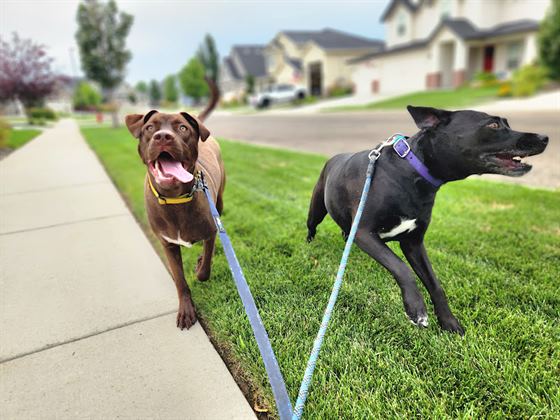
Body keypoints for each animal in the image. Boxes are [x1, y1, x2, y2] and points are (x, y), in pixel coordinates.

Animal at [126, 82, 224, 330]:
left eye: (182, 128)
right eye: (150, 127)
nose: (163, 136)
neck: (175, 199)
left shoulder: (210, 232)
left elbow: (204, 270)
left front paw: (200, 266)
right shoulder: (167, 244)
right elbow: (179, 280)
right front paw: (186, 310)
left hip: (220, 201)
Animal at [306, 106, 548, 334]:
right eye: (494, 125)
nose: (545, 137)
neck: (412, 171)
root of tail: (333, 157)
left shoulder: (413, 243)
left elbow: (435, 284)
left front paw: (448, 321)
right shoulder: (365, 232)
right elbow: (401, 267)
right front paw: (416, 310)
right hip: (316, 209)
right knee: (312, 227)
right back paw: (309, 243)